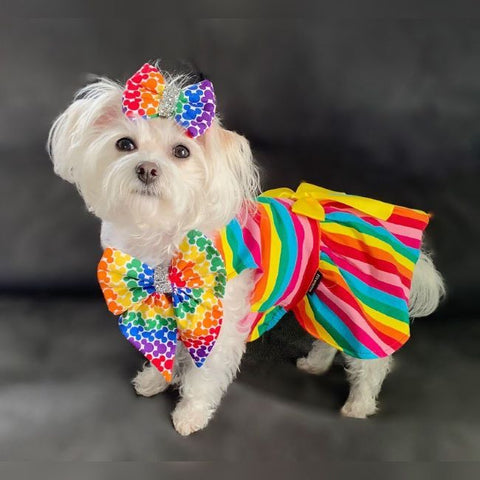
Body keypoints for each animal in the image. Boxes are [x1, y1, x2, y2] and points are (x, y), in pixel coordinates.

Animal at [47, 65, 442, 436]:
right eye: (125, 145)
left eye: (181, 152)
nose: (146, 169)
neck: (167, 233)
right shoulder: (164, 305)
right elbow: (168, 349)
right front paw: (155, 380)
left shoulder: (215, 322)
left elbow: (203, 376)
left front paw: (190, 414)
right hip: (318, 296)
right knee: (328, 338)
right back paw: (316, 364)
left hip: (361, 301)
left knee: (371, 361)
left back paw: (359, 405)